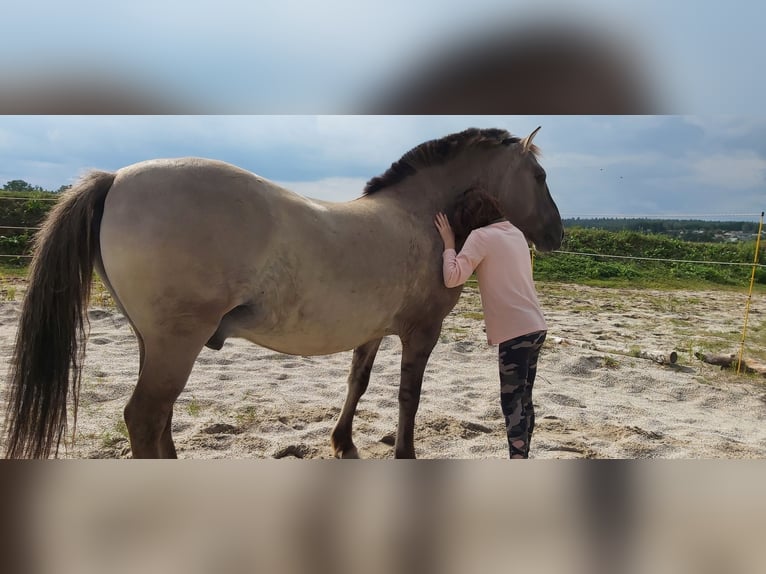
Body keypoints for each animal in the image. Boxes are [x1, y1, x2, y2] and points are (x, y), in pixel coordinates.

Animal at [3, 126, 563, 459]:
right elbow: (409, 396)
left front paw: (343, 444)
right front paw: (403, 454)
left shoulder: (372, 331)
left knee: (158, 416)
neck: (420, 216)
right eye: (539, 175)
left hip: (155, 343)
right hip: (175, 343)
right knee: (144, 416)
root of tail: (116, 177)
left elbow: (357, 384)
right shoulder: (421, 332)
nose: (558, 234)